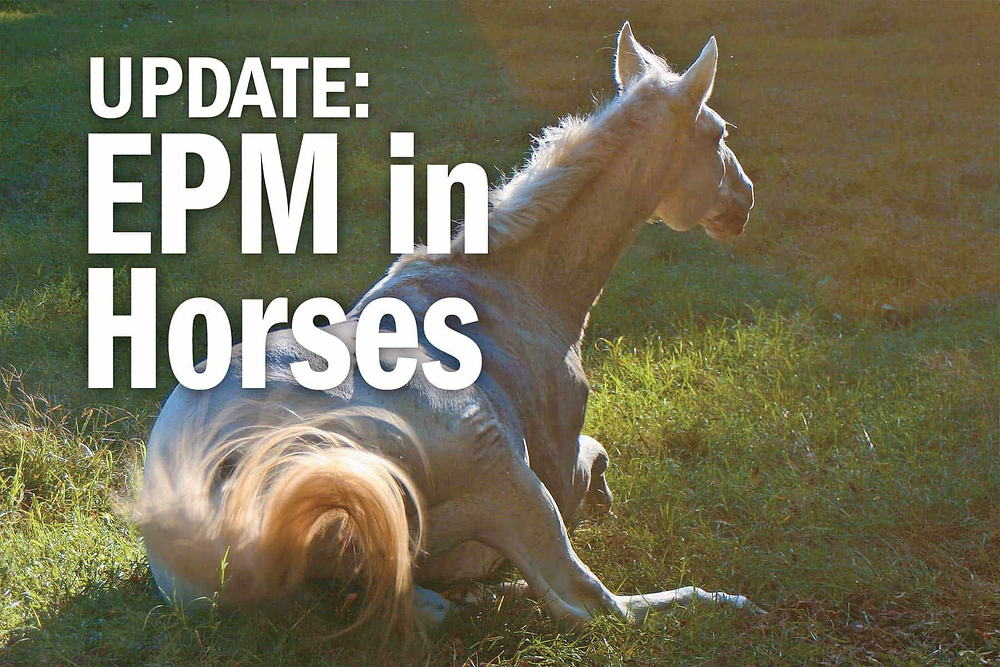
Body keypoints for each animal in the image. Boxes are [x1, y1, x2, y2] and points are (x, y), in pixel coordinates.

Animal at [136, 21, 759, 636]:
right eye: (717, 133)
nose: (744, 201)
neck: (511, 285)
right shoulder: (555, 467)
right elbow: (593, 462)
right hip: (504, 473)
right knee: (589, 606)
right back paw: (725, 601)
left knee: (439, 603)